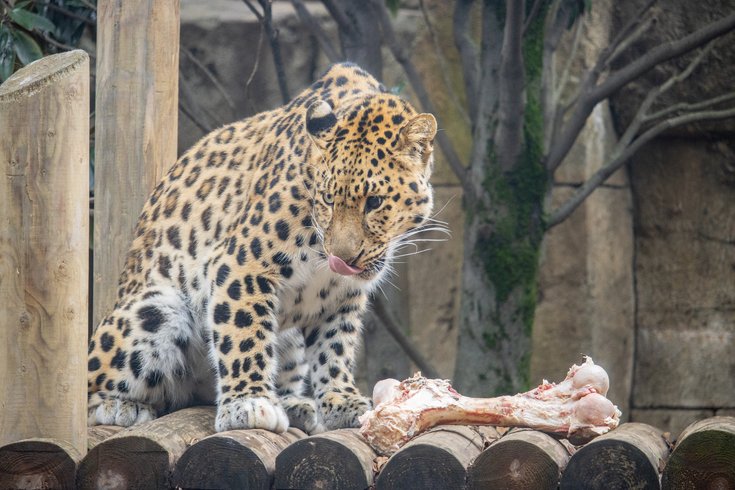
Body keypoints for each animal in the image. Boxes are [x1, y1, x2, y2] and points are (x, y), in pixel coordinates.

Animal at [87, 62, 438, 434]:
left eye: (374, 202)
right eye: (328, 199)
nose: (341, 259)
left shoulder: (341, 296)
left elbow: (335, 346)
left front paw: (341, 401)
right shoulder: (240, 265)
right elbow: (243, 333)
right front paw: (248, 403)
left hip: (290, 340)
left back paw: (295, 404)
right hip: (155, 309)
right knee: (91, 386)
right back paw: (120, 405)